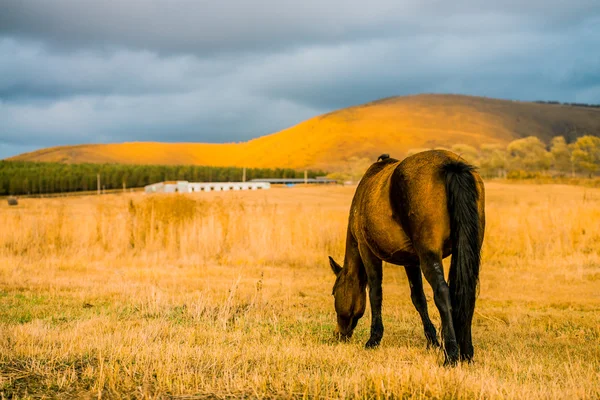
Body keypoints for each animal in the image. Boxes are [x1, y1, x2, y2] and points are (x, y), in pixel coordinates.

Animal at [330, 150, 486, 366]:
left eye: (334, 293)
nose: (339, 334)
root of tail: (451, 165)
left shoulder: (367, 251)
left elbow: (375, 293)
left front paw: (374, 339)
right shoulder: (412, 261)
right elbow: (418, 298)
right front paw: (432, 341)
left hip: (429, 255)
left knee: (442, 293)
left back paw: (452, 355)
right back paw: (466, 353)